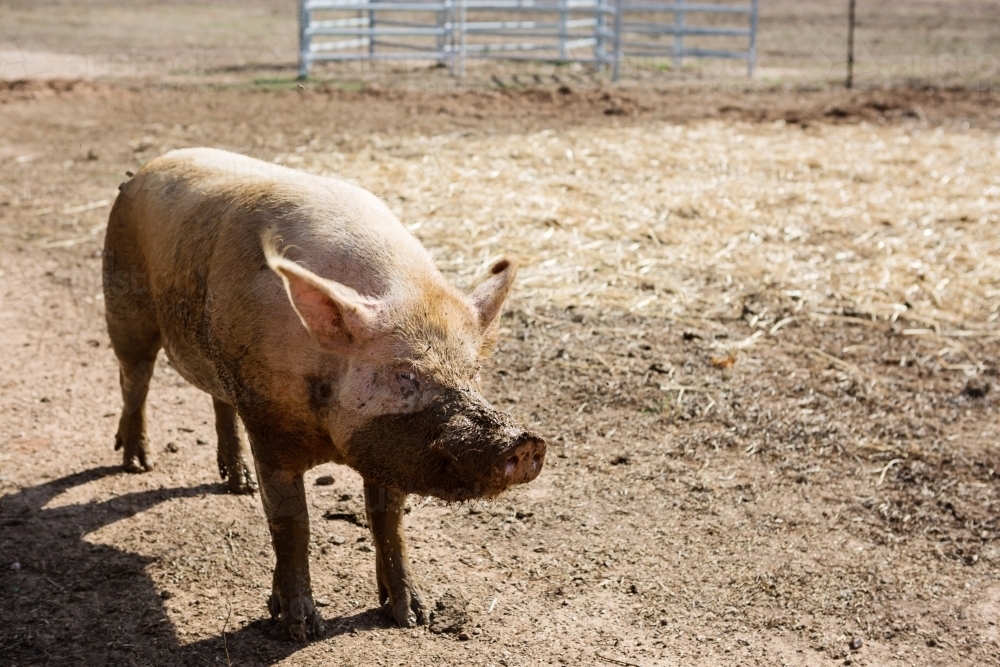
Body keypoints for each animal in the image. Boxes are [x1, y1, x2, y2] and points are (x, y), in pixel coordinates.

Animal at [103, 147, 548, 640]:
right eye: (405, 375)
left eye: (474, 372)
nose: (525, 442)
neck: (328, 434)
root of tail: (146, 168)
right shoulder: (268, 424)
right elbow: (291, 524)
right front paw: (300, 628)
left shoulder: (384, 448)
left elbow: (388, 521)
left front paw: (415, 616)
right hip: (123, 306)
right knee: (134, 380)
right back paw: (137, 463)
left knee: (217, 400)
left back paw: (236, 484)